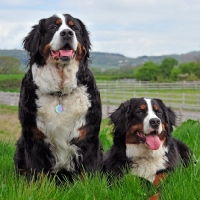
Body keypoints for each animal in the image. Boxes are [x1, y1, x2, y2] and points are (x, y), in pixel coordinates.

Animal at [13, 12, 102, 181]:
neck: (60, 91)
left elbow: (88, 174)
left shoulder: (87, 134)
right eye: (53, 27)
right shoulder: (34, 136)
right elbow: (37, 174)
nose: (67, 33)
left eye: (75, 28)